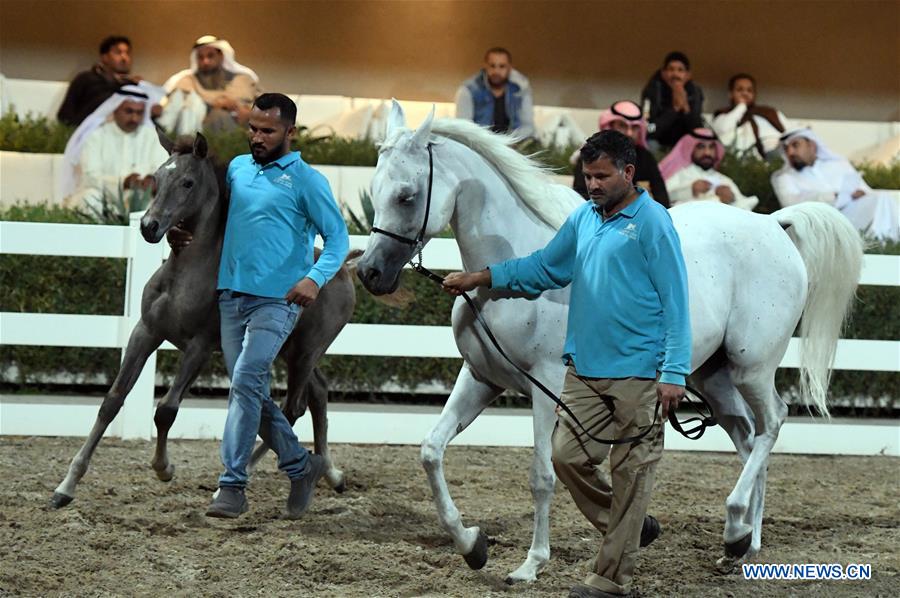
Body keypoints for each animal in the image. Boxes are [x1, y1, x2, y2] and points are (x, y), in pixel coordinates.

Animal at [50, 135, 356, 510]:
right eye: (156, 178)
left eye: (188, 182)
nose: (149, 227)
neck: (183, 278)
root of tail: (344, 269)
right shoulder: (146, 332)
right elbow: (112, 401)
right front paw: (66, 486)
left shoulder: (199, 347)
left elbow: (166, 410)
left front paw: (164, 469)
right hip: (289, 352)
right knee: (317, 394)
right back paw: (331, 474)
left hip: (305, 352)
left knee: (293, 406)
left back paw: (249, 474)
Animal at [356, 101, 860, 584]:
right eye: (375, 189)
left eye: (407, 195)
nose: (370, 273)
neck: (504, 281)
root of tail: (774, 225)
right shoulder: (481, 378)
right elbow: (431, 451)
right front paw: (471, 545)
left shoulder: (545, 386)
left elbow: (542, 475)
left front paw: (531, 564)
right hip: (712, 377)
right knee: (748, 438)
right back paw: (741, 545)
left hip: (751, 366)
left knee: (773, 422)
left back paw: (738, 527)